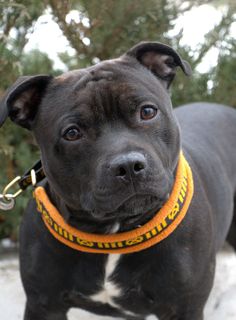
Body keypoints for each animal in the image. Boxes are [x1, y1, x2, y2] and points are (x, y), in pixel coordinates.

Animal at [0, 42, 236, 320]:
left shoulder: (184, 307)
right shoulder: (44, 305)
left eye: (148, 111)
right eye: (72, 133)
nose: (128, 166)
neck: (113, 233)